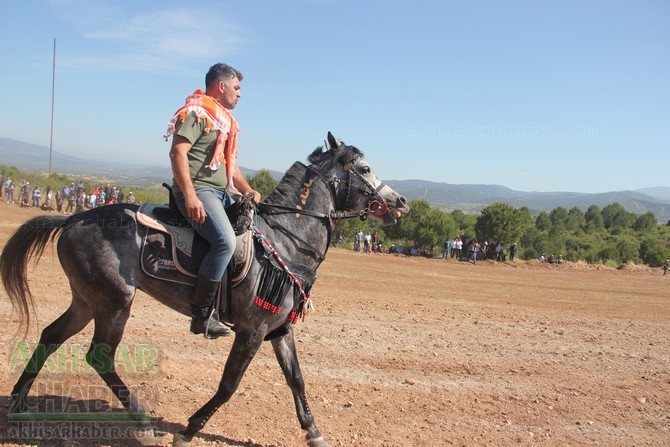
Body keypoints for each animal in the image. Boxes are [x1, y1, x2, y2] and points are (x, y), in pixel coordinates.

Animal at [1, 133, 410, 447]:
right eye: (365, 168)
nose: (400, 202)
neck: (286, 240)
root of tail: (72, 218)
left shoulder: (279, 330)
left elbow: (296, 379)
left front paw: (313, 432)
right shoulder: (251, 331)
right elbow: (229, 385)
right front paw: (188, 430)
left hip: (87, 301)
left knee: (51, 335)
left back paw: (19, 407)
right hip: (114, 302)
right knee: (100, 357)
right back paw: (142, 421)